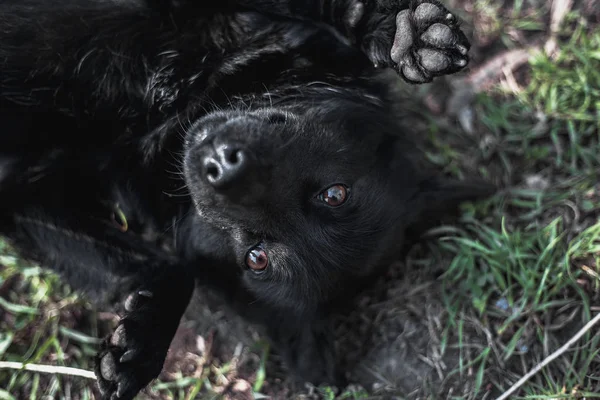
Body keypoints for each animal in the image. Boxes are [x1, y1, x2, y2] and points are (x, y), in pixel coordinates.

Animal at [1, 1, 492, 398]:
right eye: (334, 194)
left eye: (256, 258)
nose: (221, 165)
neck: (169, 109)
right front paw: (404, 36)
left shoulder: (24, 196)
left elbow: (170, 268)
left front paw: (139, 343)